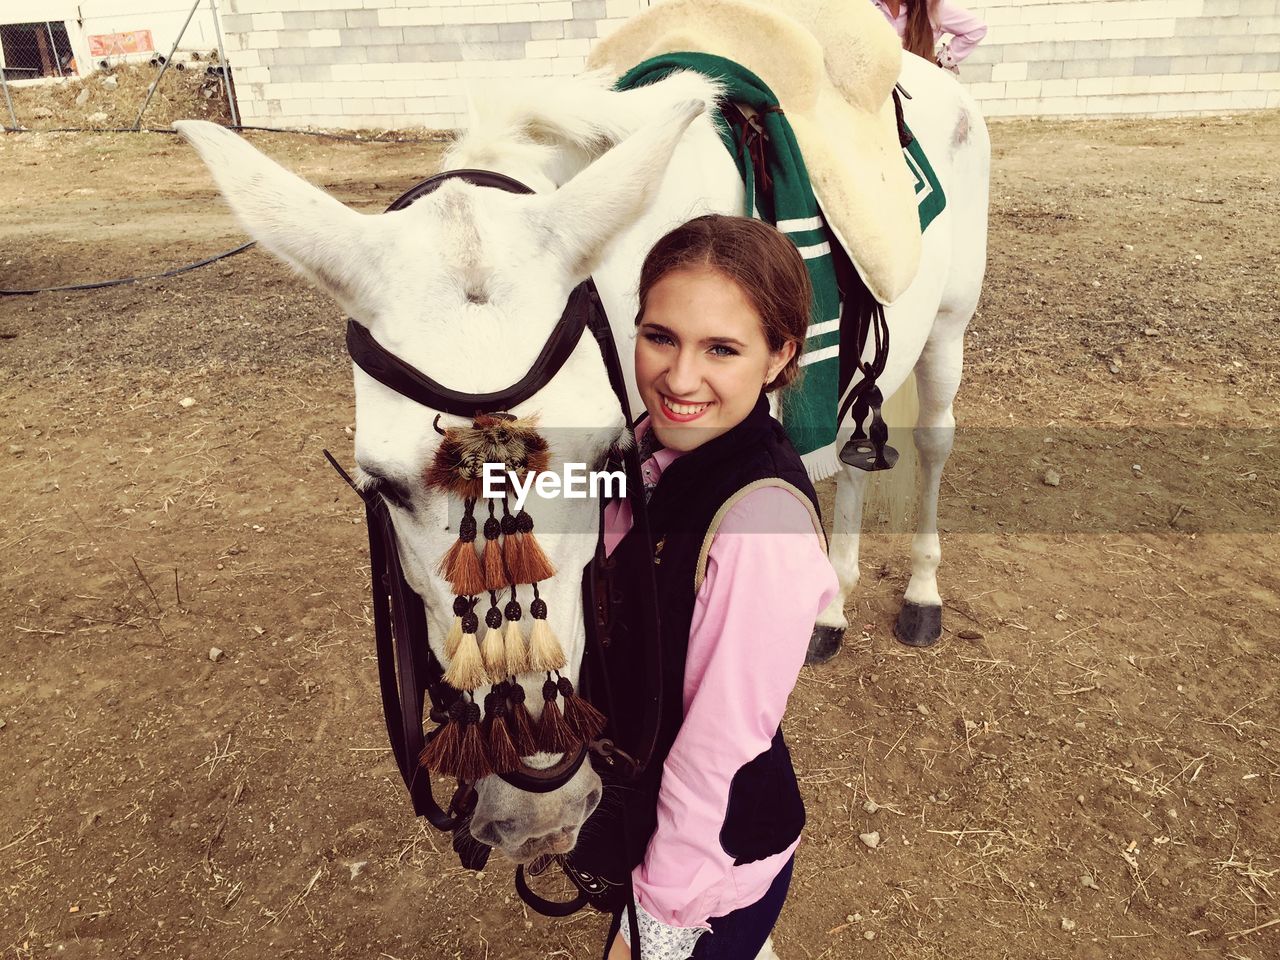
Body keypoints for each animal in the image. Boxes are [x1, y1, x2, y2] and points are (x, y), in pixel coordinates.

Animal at [175, 50, 983, 865]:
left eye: (601, 459)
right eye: (387, 488)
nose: (534, 812)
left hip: (947, 330)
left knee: (932, 442)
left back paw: (921, 596)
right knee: (849, 462)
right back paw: (831, 607)